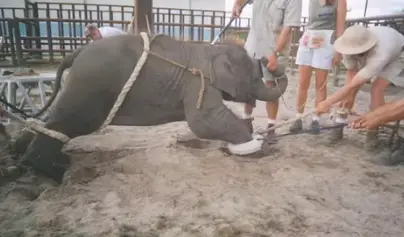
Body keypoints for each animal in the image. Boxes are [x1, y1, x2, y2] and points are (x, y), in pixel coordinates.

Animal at [12, 32, 288, 182]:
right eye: (254, 77)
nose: (268, 59)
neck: (212, 50)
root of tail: (76, 53)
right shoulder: (197, 81)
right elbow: (204, 120)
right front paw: (252, 144)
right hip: (88, 87)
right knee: (66, 124)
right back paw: (58, 172)